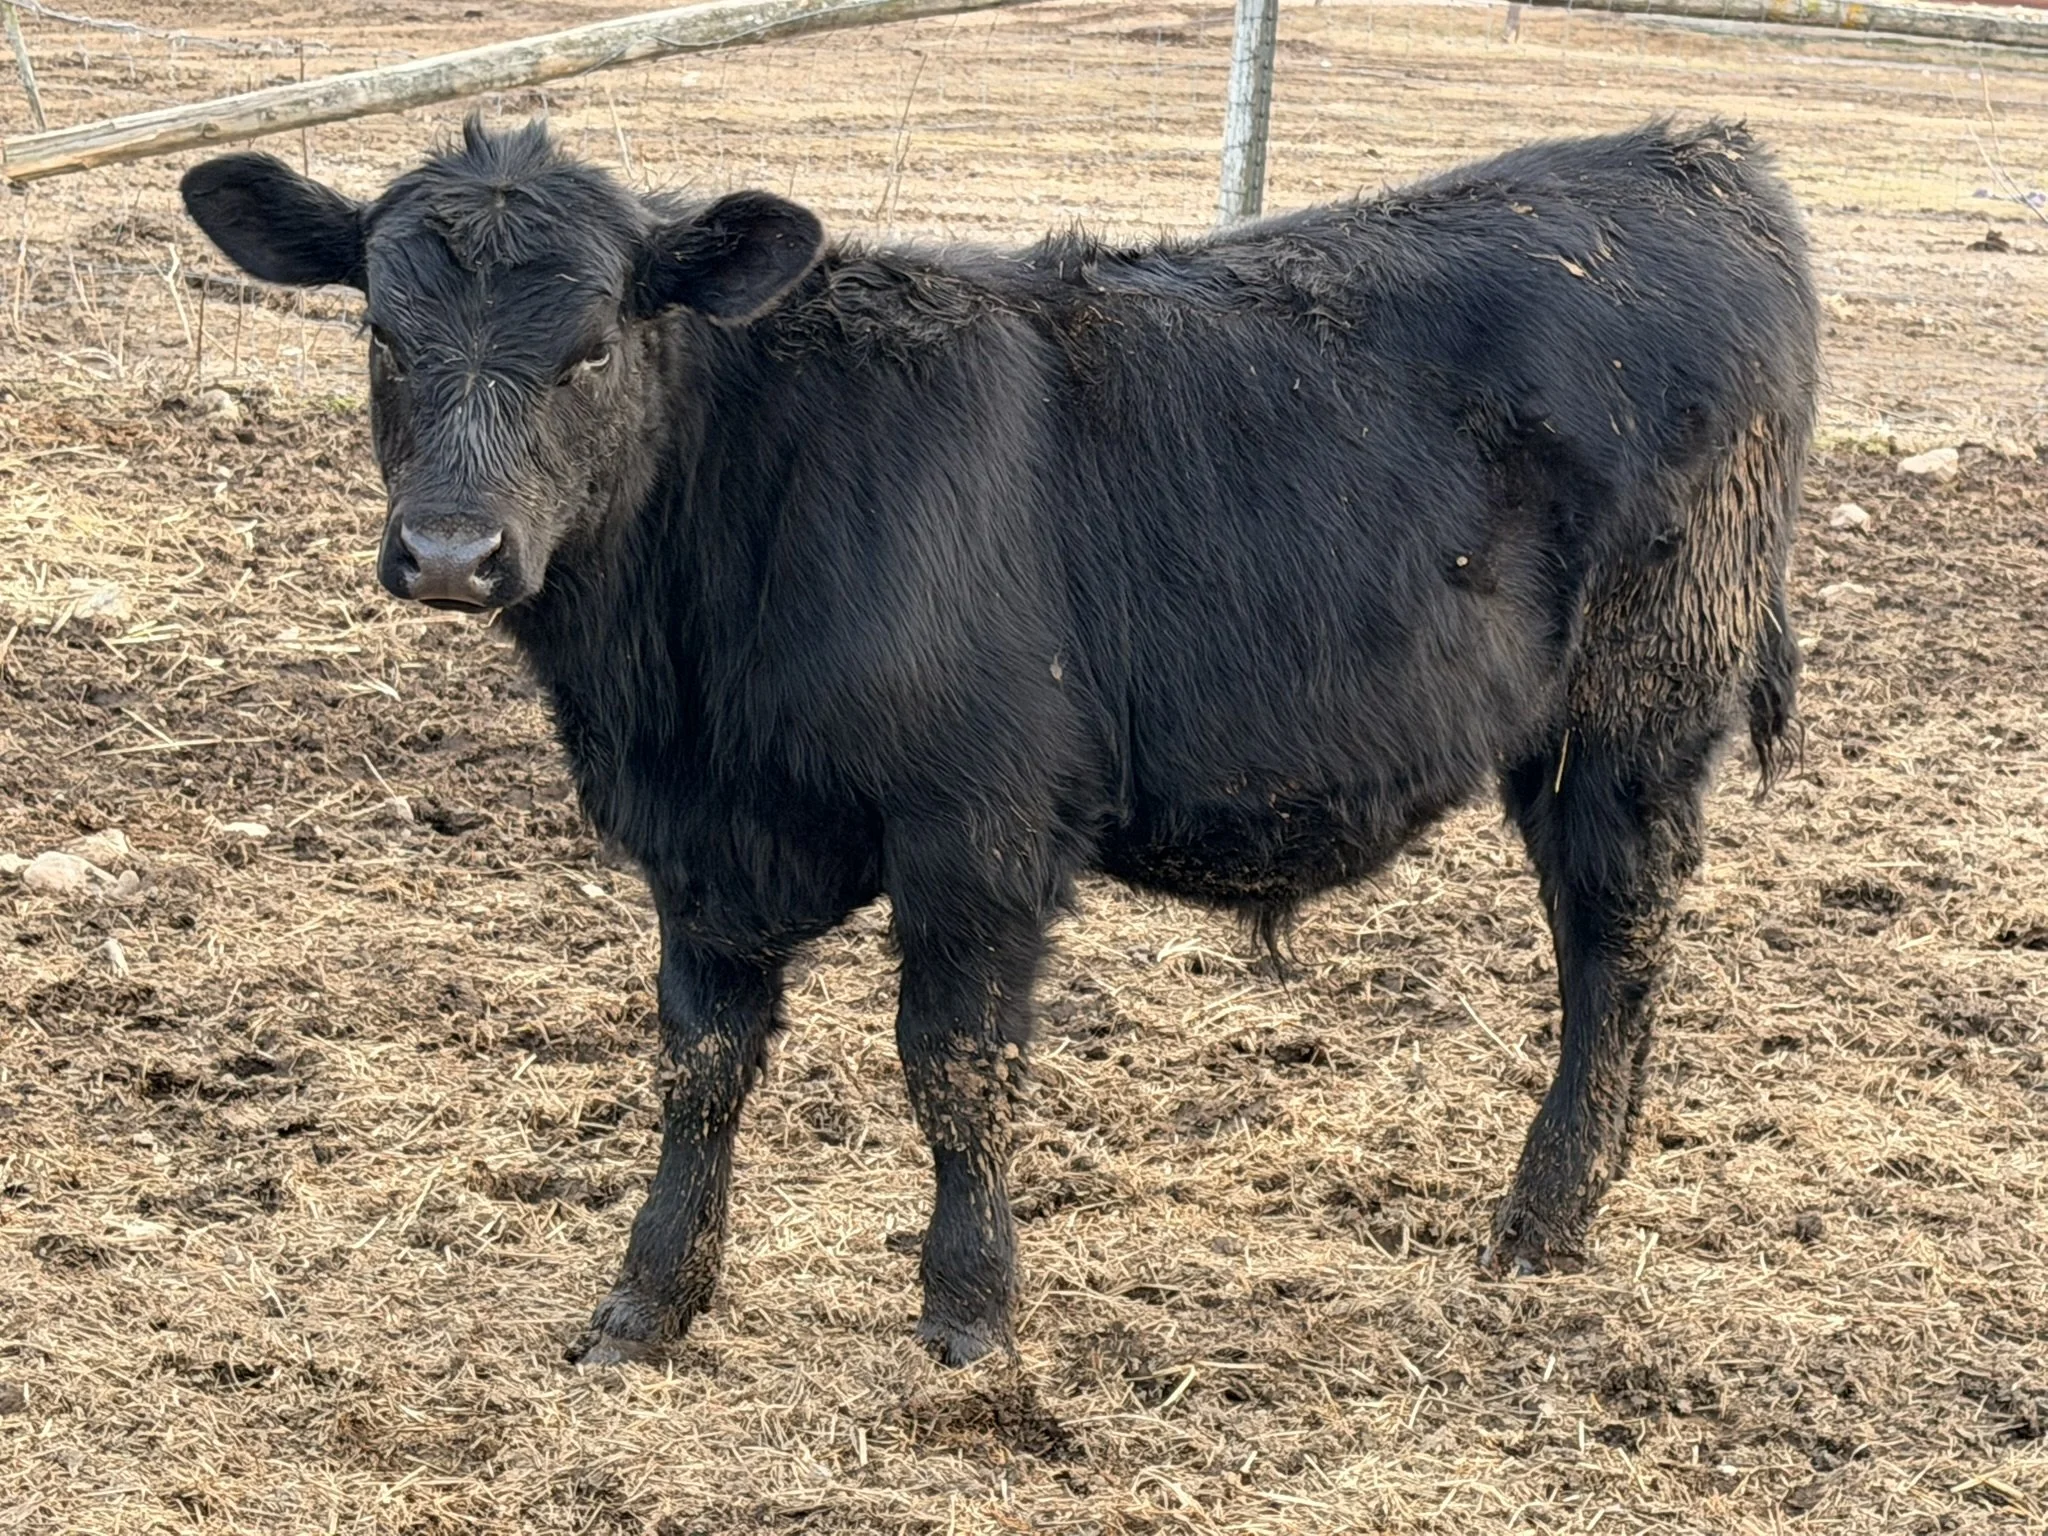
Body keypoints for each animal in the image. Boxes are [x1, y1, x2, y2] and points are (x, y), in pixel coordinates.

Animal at [182, 116, 1817, 1367]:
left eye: (590, 349)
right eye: (379, 334)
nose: (452, 553)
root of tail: (1686, 156)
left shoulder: (978, 826)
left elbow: (954, 1065)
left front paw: (970, 1314)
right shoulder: (695, 849)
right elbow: (700, 1064)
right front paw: (646, 1304)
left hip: (1633, 715)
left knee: (1614, 950)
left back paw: (1542, 1221)